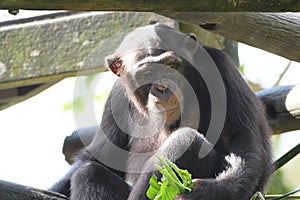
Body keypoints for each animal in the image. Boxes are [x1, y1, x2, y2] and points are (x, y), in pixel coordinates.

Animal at [50, 23, 274, 200]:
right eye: (147, 73)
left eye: (171, 66)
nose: (162, 88)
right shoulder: (116, 97)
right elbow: (96, 158)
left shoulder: (223, 71)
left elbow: (244, 142)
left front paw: (210, 192)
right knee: (89, 172)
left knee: (186, 141)